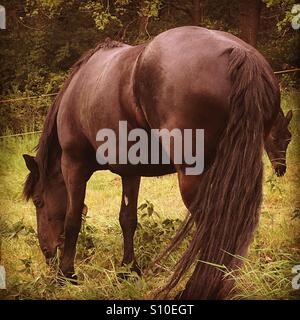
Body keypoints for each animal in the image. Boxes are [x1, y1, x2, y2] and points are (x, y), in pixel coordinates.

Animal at [22, 26, 292, 298]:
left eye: (38, 201)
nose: (47, 252)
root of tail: (239, 53)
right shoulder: (130, 172)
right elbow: (127, 219)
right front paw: (128, 271)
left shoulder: (74, 166)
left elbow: (72, 219)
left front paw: (66, 275)